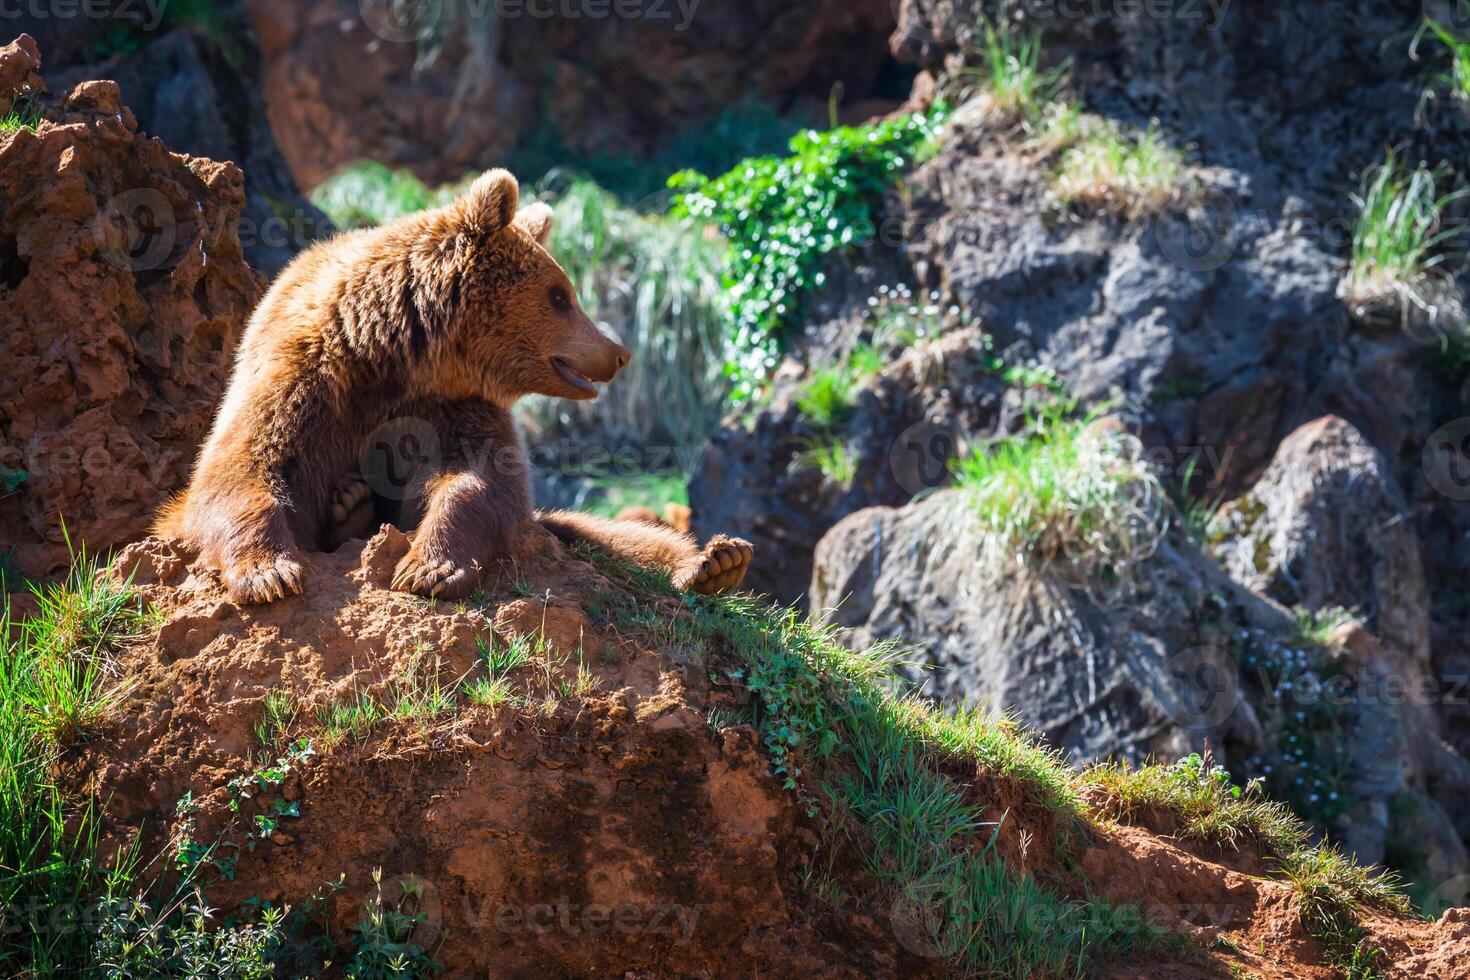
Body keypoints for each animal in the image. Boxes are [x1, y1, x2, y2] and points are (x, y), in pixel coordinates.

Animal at [159, 168, 752, 605]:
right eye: (560, 295)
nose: (618, 352)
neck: (400, 356)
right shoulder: (305, 382)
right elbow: (239, 472)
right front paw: (269, 574)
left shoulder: (457, 406)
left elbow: (482, 480)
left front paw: (427, 567)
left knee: (617, 540)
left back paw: (714, 562)